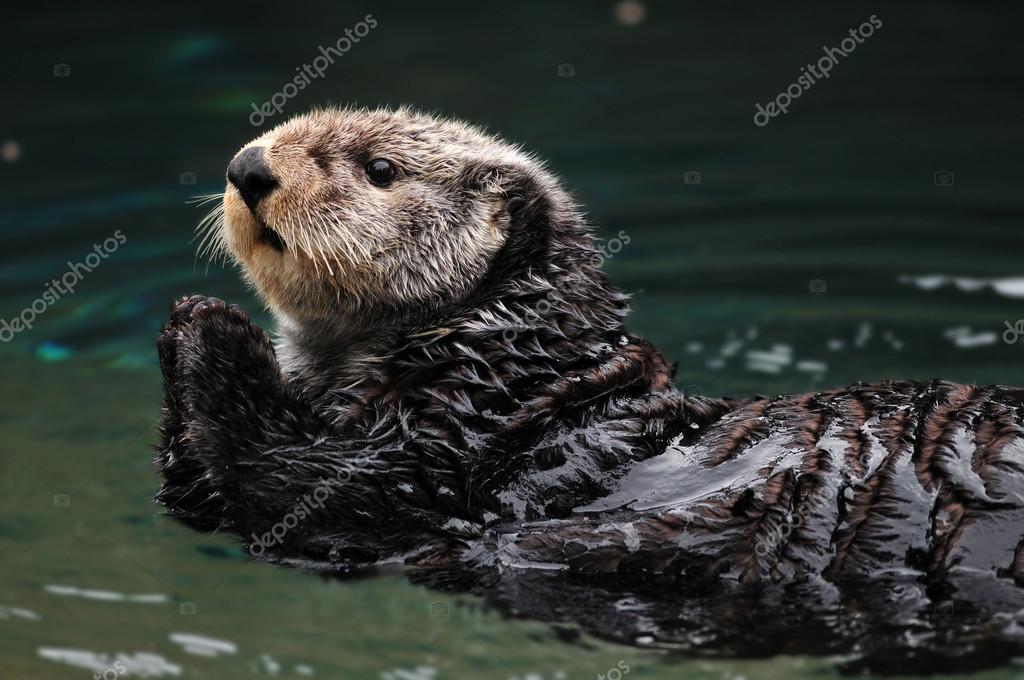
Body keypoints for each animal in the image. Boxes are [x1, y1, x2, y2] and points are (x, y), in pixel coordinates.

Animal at [155, 109, 1024, 671]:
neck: (522, 359)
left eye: (380, 170)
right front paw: (183, 326)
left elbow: (325, 495)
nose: (249, 168)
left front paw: (212, 325)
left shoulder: (451, 460)